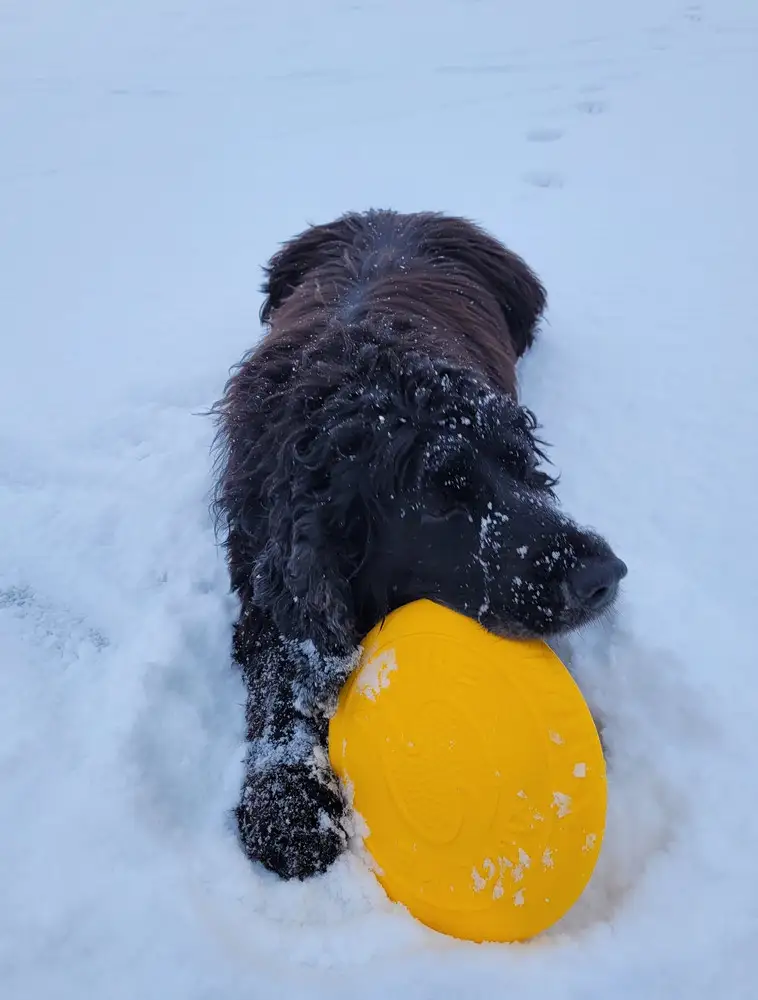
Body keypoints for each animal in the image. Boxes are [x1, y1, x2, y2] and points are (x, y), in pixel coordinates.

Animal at [211, 207, 628, 880]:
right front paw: (289, 809)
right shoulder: (268, 582)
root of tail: (394, 212)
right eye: (442, 499)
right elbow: (285, 678)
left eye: (525, 469)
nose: (606, 576)